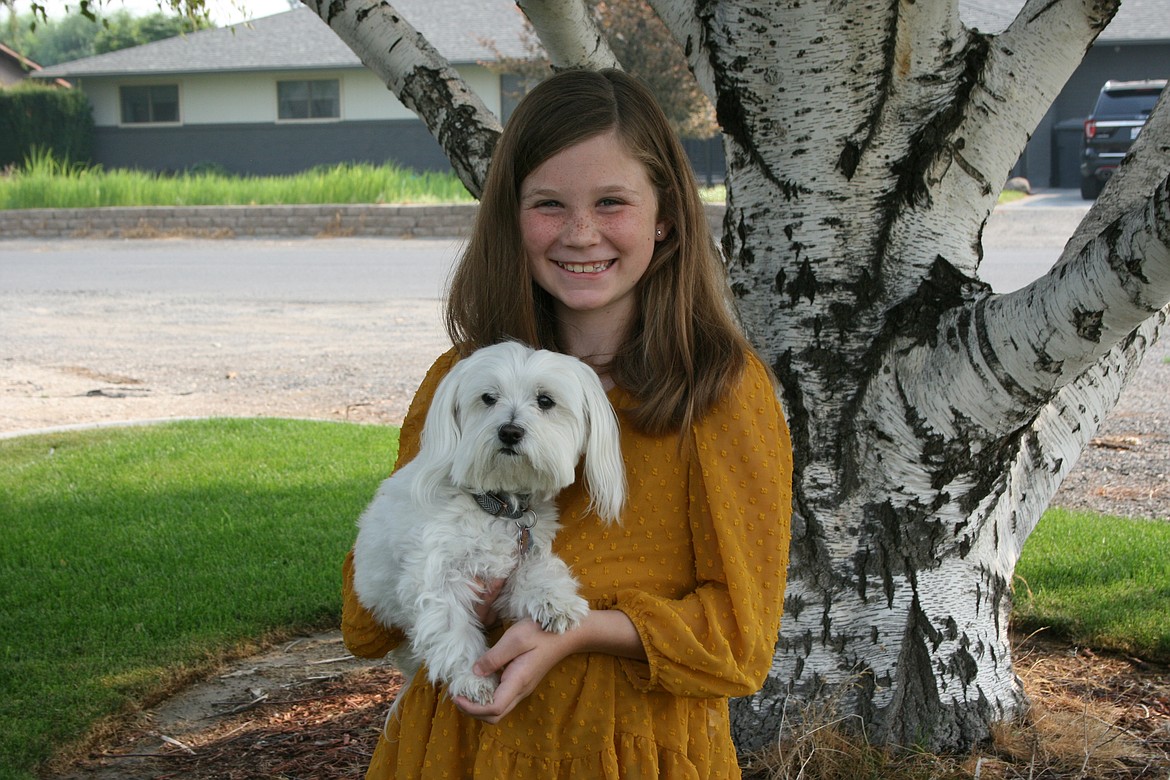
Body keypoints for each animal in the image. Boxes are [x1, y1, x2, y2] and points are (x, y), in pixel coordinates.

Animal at [351, 341, 627, 706]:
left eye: (545, 401)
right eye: (488, 398)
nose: (509, 431)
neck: (496, 504)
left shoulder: (520, 555)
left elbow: (536, 573)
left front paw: (554, 600)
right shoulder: (436, 574)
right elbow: (451, 627)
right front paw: (474, 679)